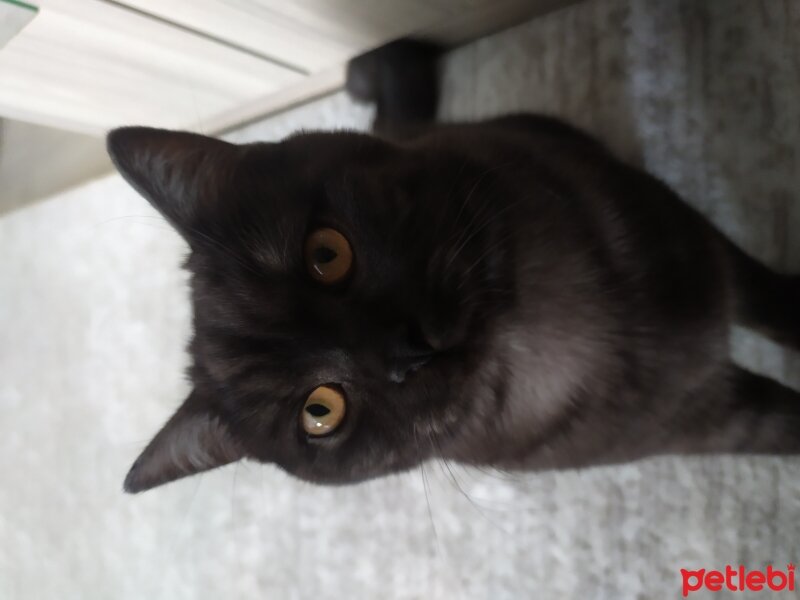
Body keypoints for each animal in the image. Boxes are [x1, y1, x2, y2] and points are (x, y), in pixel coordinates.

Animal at [108, 41, 800, 492]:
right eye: (320, 411)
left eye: (326, 255)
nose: (405, 352)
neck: (562, 328)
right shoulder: (699, 421)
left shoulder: (700, 250)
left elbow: (770, 299)